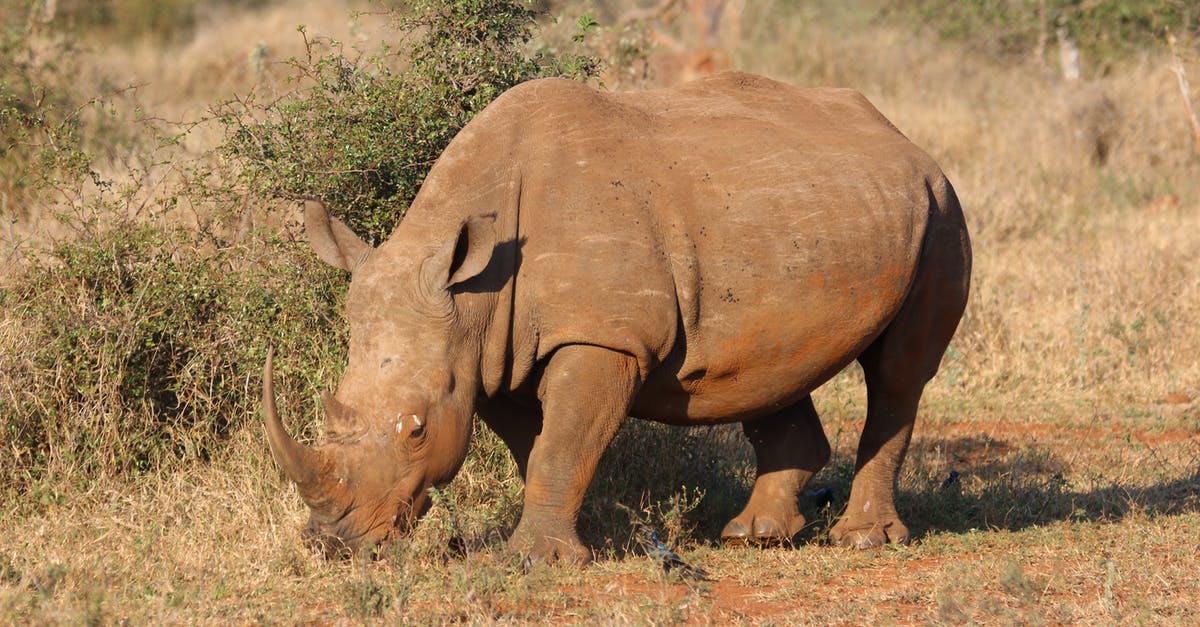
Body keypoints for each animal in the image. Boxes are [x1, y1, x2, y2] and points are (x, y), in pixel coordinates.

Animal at [265, 69, 974, 562]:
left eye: (416, 431)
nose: (334, 542)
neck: (472, 296)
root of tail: (905, 139)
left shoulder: (603, 337)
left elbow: (562, 440)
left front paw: (534, 560)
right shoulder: (490, 356)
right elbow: (542, 445)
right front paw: (588, 536)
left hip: (940, 208)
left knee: (898, 376)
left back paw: (862, 540)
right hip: (806, 215)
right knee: (774, 364)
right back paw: (755, 536)